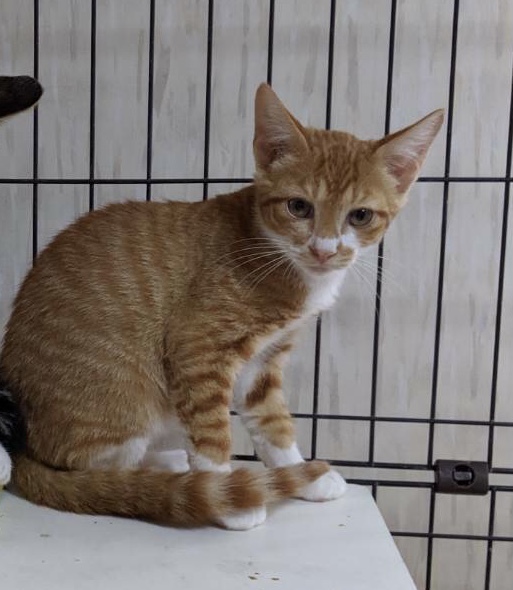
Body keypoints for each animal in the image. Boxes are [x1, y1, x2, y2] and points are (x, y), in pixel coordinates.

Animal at [0, 83, 443, 529]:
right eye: (298, 206)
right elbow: (211, 429)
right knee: (96, 470)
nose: (323, 249)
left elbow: (273, 422)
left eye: (361, 216)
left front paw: (303, 475)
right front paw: (228, 496)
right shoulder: (199, 347)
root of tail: (26, 447)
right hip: (124, 403)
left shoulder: (265, 361)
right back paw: (163, 477)